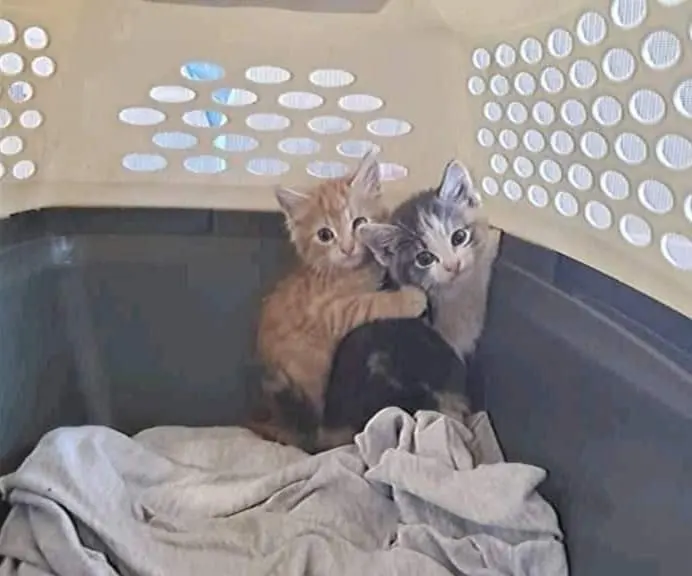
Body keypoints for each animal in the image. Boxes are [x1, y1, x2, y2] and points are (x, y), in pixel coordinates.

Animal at [248, 151, 429, 449]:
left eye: (359, 223)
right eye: (325, 235)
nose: (347, 247)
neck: (349, 272)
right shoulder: (326, 312)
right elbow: (369, 304)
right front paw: (412, 298)